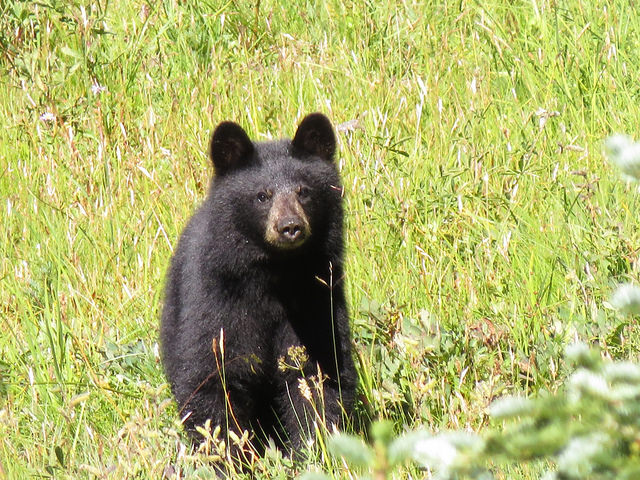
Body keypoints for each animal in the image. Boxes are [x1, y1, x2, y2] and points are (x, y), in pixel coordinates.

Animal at [160, 111, 358, 458]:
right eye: (262, 195)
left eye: (304, 191)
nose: (290, 227)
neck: (275, 274)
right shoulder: (219, 298)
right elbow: (212, 376)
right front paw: (229, 456)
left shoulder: (317, 298)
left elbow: (317, 374)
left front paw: (313, 447)